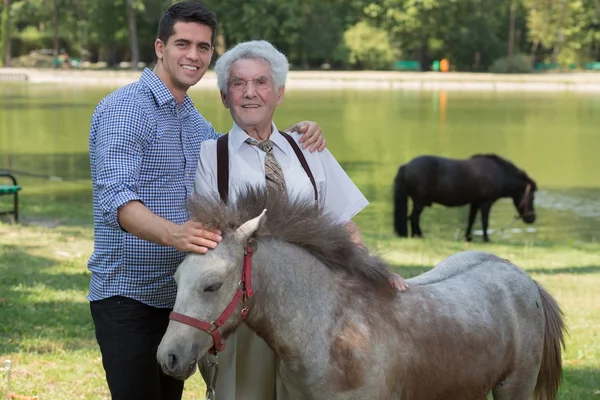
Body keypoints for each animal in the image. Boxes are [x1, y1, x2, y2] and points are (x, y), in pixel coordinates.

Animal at [394, 152, 540, 241]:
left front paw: (468, 237)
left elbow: (471, 220)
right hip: (419, 202)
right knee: (413, 218)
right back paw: (418, 236)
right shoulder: (486, 203)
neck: (499, 174)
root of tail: (406, 166)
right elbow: (485, 221)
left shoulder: (474, 203)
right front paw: (486, 239)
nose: (532, 218)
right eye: (532, 197)